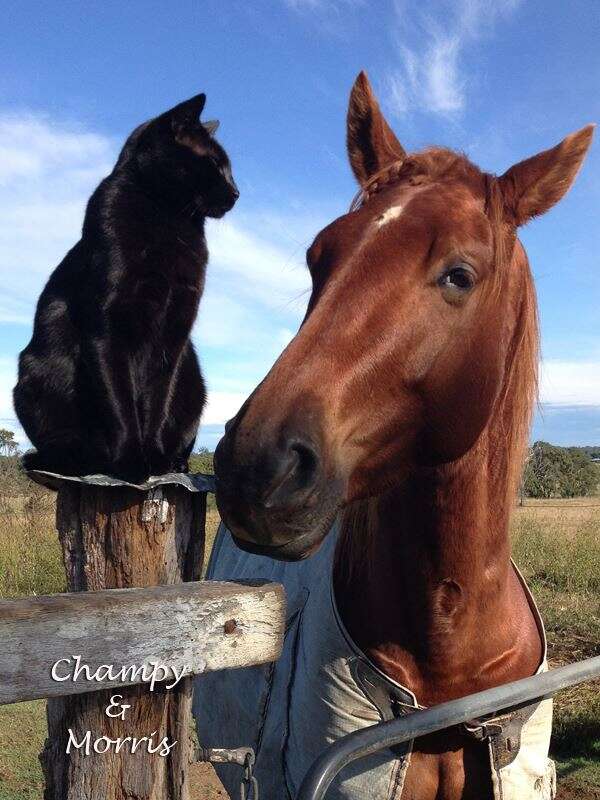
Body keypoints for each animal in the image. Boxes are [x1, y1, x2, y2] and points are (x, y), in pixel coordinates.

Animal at [12, 92, 237, 482]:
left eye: (228, 168)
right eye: (214, 164)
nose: (236, 192)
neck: (169, 218)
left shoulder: (174, 334)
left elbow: (156, 401)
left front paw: (155, 457)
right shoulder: (108, 328)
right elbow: (120, 402)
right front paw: (132, 462)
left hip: (194, 382)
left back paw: (173, 461)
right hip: (34, 373)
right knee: (60, 448)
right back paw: (78, 460)